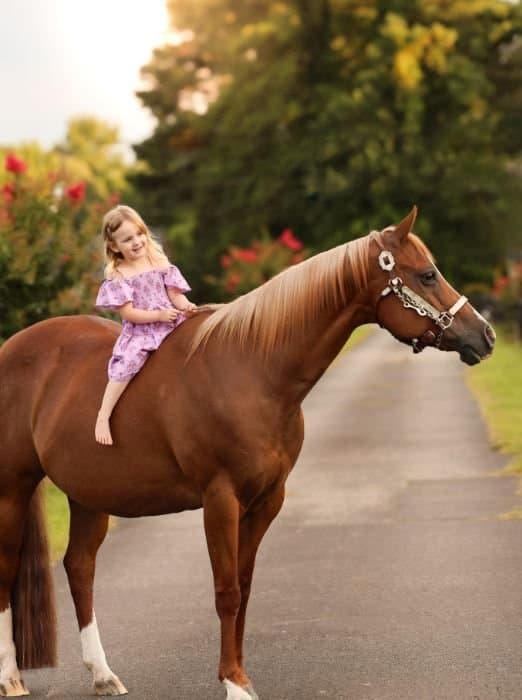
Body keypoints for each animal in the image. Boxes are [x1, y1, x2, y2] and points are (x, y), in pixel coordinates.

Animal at [0, 207, 495, 699]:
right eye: (427, 274)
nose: (485, 335)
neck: (251, 371)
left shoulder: (266, 501)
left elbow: (244, 585)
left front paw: (239, 674)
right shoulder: (220, 500)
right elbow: (227, 592)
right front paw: (233, 683)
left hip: (88, 495)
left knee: (79, 567)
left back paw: (103, 675)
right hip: (13, 490)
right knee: (7, 570)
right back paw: (12, 678)